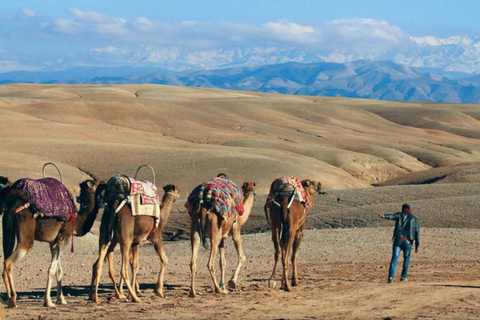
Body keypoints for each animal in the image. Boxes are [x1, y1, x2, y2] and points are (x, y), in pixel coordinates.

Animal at [0, 178, 105, 308]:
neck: (77, 221)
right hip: (26, 237)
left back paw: (9, 299)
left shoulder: (54, 242)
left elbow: (59, 270)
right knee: (8, 262)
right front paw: (48, 301)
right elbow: (52, 270)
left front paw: (61, 299)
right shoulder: (64, 238)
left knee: (5, 259)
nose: (104, 183)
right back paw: (13, 299)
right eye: (96, 183)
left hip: (8, 231)